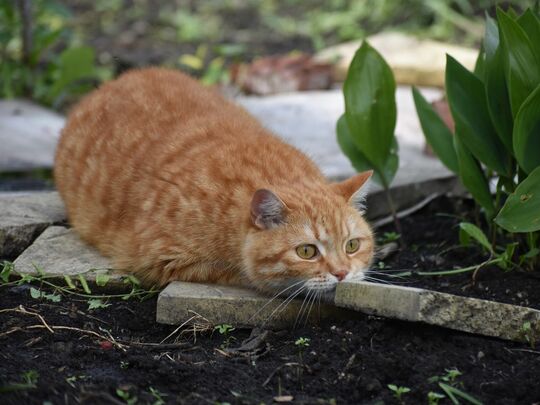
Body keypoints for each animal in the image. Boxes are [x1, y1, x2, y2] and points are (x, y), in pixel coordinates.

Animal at [56, 68, 376, 296]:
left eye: (352, 246)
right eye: (306, 251)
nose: (342, 273)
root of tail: (115, 81)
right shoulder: (164, 259)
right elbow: (243, 274)